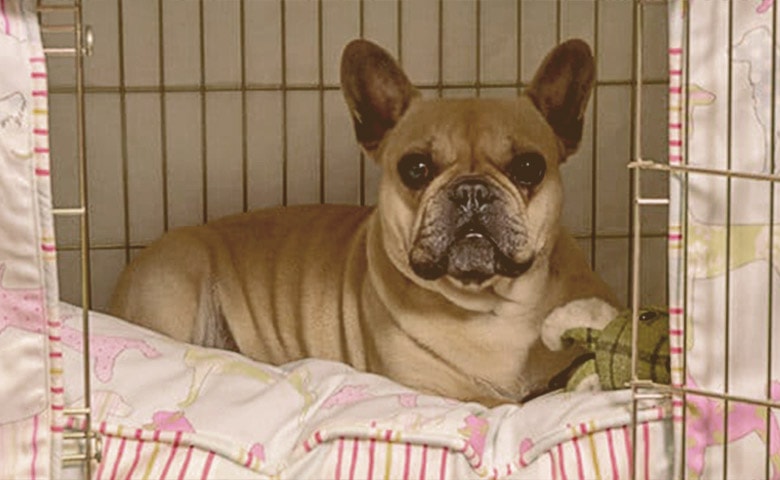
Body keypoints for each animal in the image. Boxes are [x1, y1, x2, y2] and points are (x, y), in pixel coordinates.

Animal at [111, 38, 620, 404]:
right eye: (416, 168)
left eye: (530, 167)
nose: (471, 190)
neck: (493, 305)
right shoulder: (438, 392)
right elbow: (496, 404)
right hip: (180, 277)